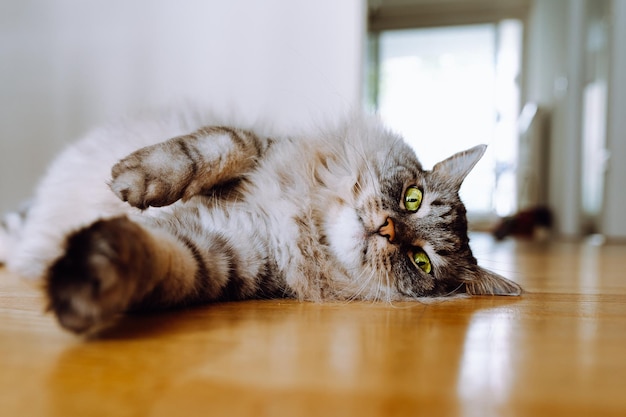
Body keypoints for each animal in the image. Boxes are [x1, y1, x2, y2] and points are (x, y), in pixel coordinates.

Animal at [0, 108, 516, 334]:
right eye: (412, 199)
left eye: (421, 261)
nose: (387, 229)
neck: (304, 224)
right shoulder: (258, 146)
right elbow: (220, 144)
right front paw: (137, 180)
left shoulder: (221, 255)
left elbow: (157, 260)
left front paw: (85, 280)